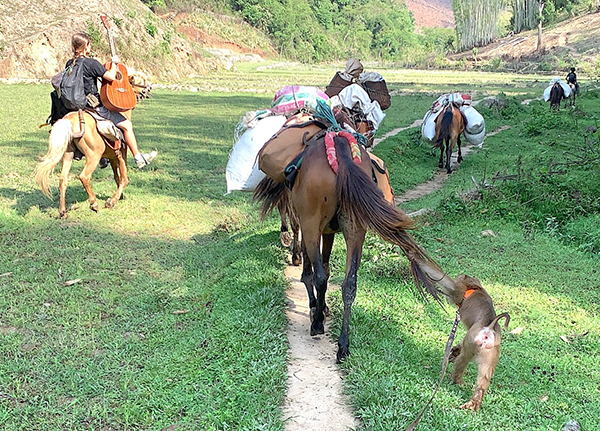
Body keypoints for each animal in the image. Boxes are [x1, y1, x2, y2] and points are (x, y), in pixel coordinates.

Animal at [253, 132, 440, 364]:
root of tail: (340, 150)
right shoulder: (328, 231)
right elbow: (326, 266)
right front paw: (322, 306)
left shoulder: (309, 225)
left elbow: (310, 270)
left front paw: (315, 306)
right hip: (355, 228)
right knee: (349, 284)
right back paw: (343, 346)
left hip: (313, 223)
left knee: (320, 276)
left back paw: (317, 324)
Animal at [408, 255, 506, 414]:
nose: (460, 275)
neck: (474, 288)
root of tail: (490, 328)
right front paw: (455, 349)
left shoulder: (457, 291)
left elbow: (447, 282)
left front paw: (417, 259)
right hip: (491, 353)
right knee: (484, 376)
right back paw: (475, 400)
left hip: (473, 343)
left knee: (463, 359)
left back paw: (455, 379)